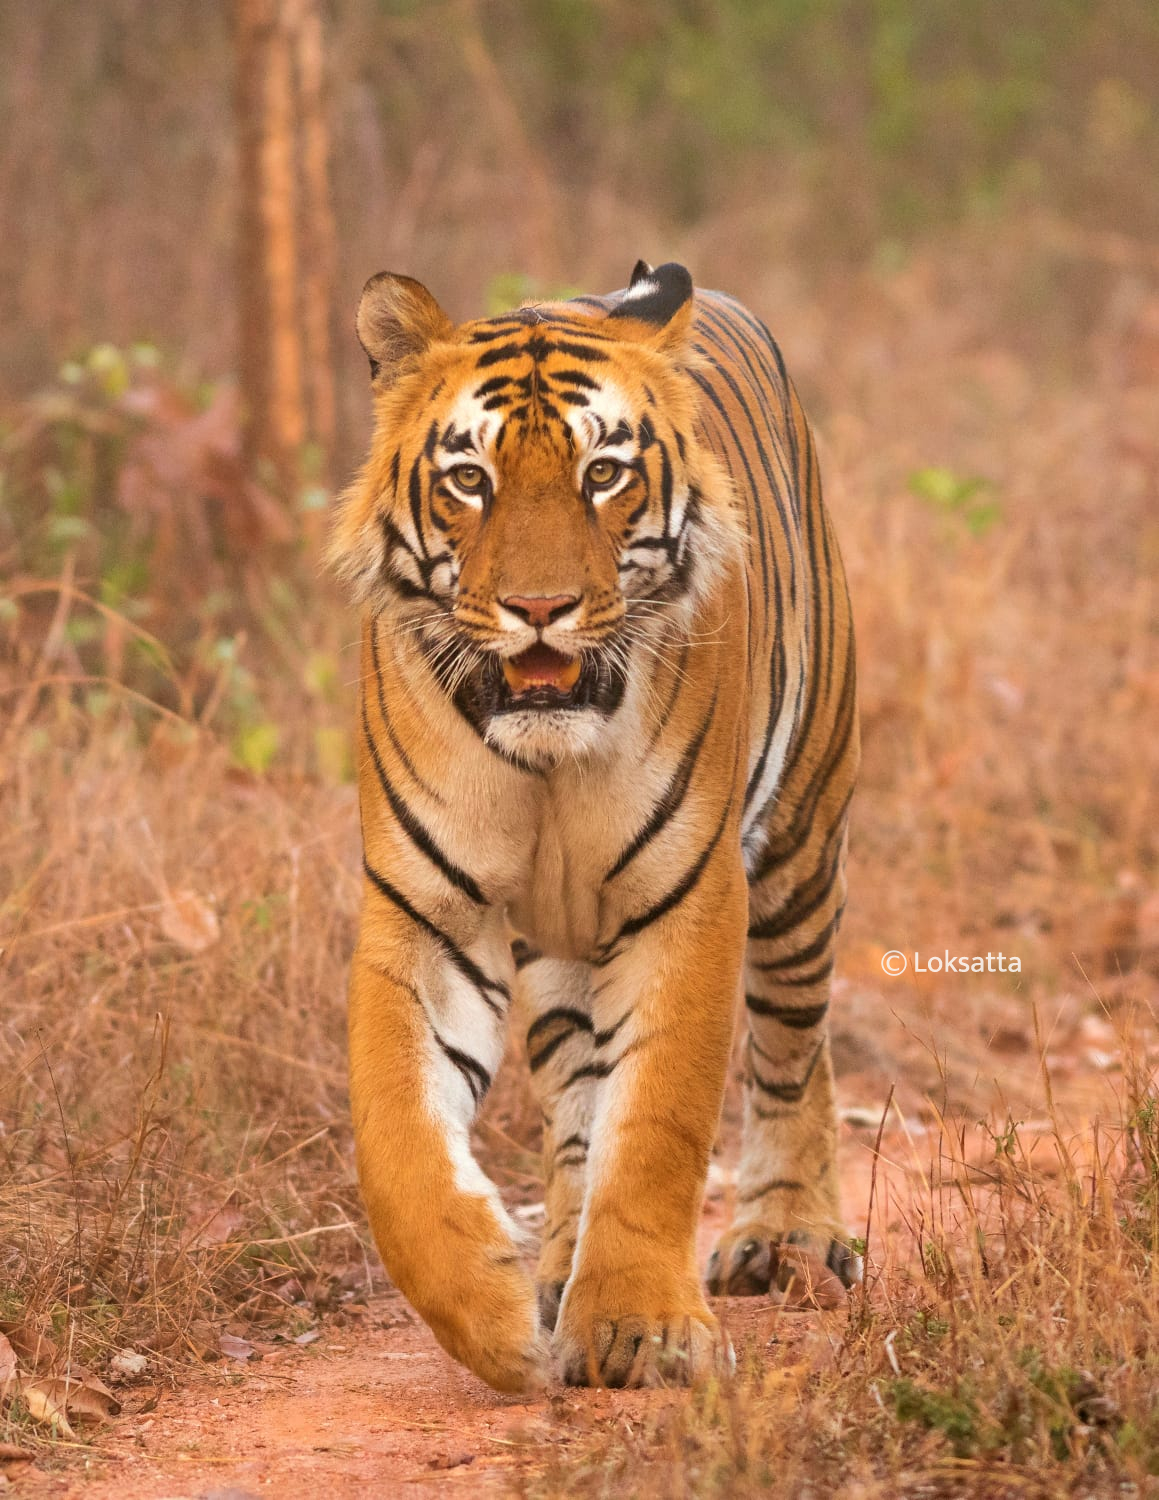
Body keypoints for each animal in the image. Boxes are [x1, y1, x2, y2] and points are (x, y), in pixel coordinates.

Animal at [325, 258, 857, 1392]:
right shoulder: (426, 914)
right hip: (561, 949)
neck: (547, 759)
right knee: (575, 1100)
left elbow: (656, 1123)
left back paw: (785, 1236)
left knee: (792, 1050)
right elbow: (394, 1135)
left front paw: (637, 1329)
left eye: (603, 473)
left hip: (800, 847)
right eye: (469, 479)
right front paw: (489, 1314)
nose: (540, 608)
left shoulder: (689, 897)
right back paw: (558, 1261)